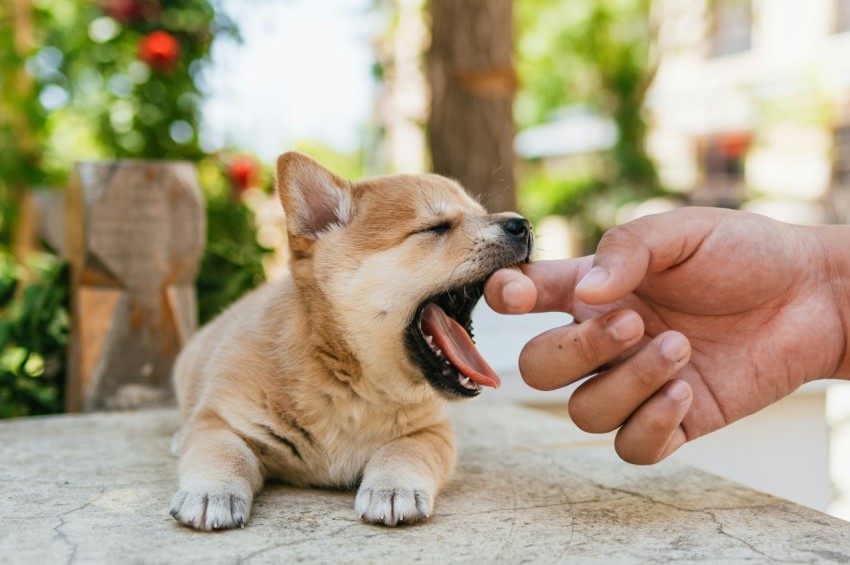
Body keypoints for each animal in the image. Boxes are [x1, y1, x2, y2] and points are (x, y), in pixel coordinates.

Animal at [169, 151, 532, 528]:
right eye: (437, 227)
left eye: (480, 211)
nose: (522, 224)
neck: (347, 381)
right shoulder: (221, 420)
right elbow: (222, 451)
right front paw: (213, 491)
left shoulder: (430, 431)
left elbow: (404, 451)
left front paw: (393, 487)